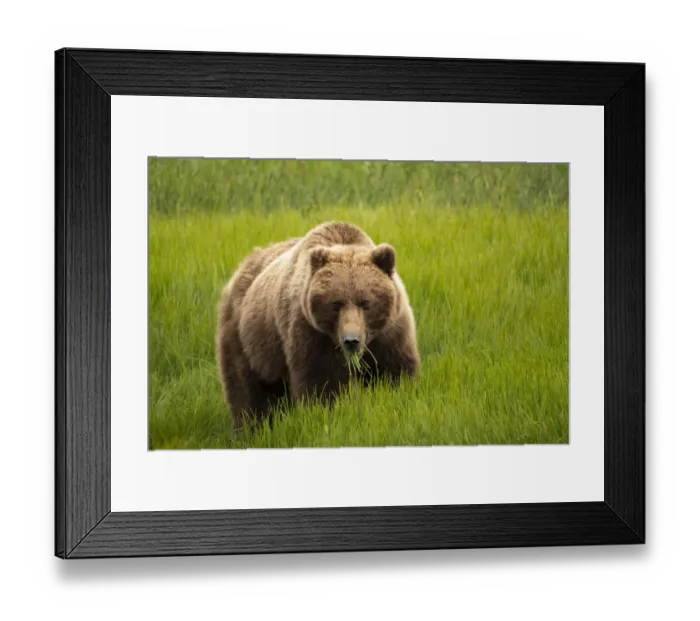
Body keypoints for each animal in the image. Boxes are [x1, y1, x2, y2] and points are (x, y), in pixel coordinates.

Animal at [216, 221, 420, 429]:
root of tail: (240, 270)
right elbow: (322, 383)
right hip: (247, 340)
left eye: (366, 303)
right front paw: (328, 413)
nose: (351, 340)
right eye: (336, 304)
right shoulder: (311, 333)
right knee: (246, 390)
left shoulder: (390, 333)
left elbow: (394, 372)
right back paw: (250, 427)